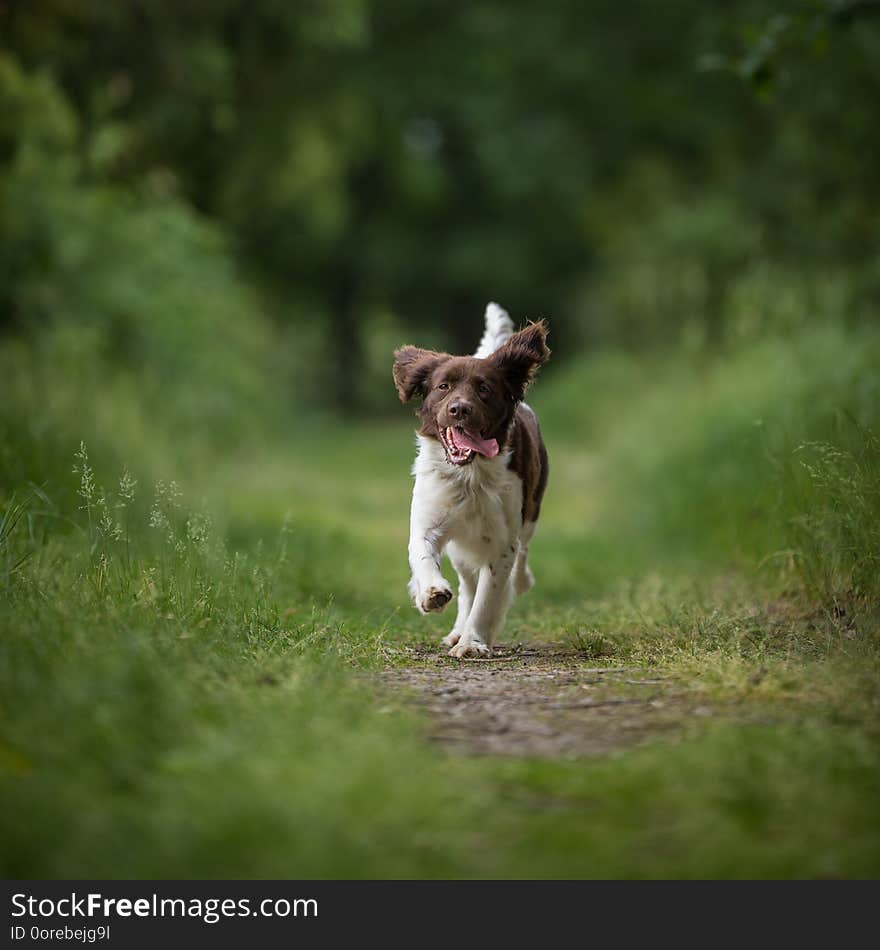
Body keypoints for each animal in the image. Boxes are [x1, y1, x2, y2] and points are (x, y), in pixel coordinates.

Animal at [394, 302, 552, 660]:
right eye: (443, 386)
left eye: (484, 389)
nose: (460, 409)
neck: (469, 475)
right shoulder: (429, 521)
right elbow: (423, 556)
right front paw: (431, 594)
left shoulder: (503, 541)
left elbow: (489, 595)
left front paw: (473, 642)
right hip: (461, 547)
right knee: (467, 585)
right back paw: (455, 628)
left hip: (530, 513)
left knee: (520, 557)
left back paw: (519, 582)